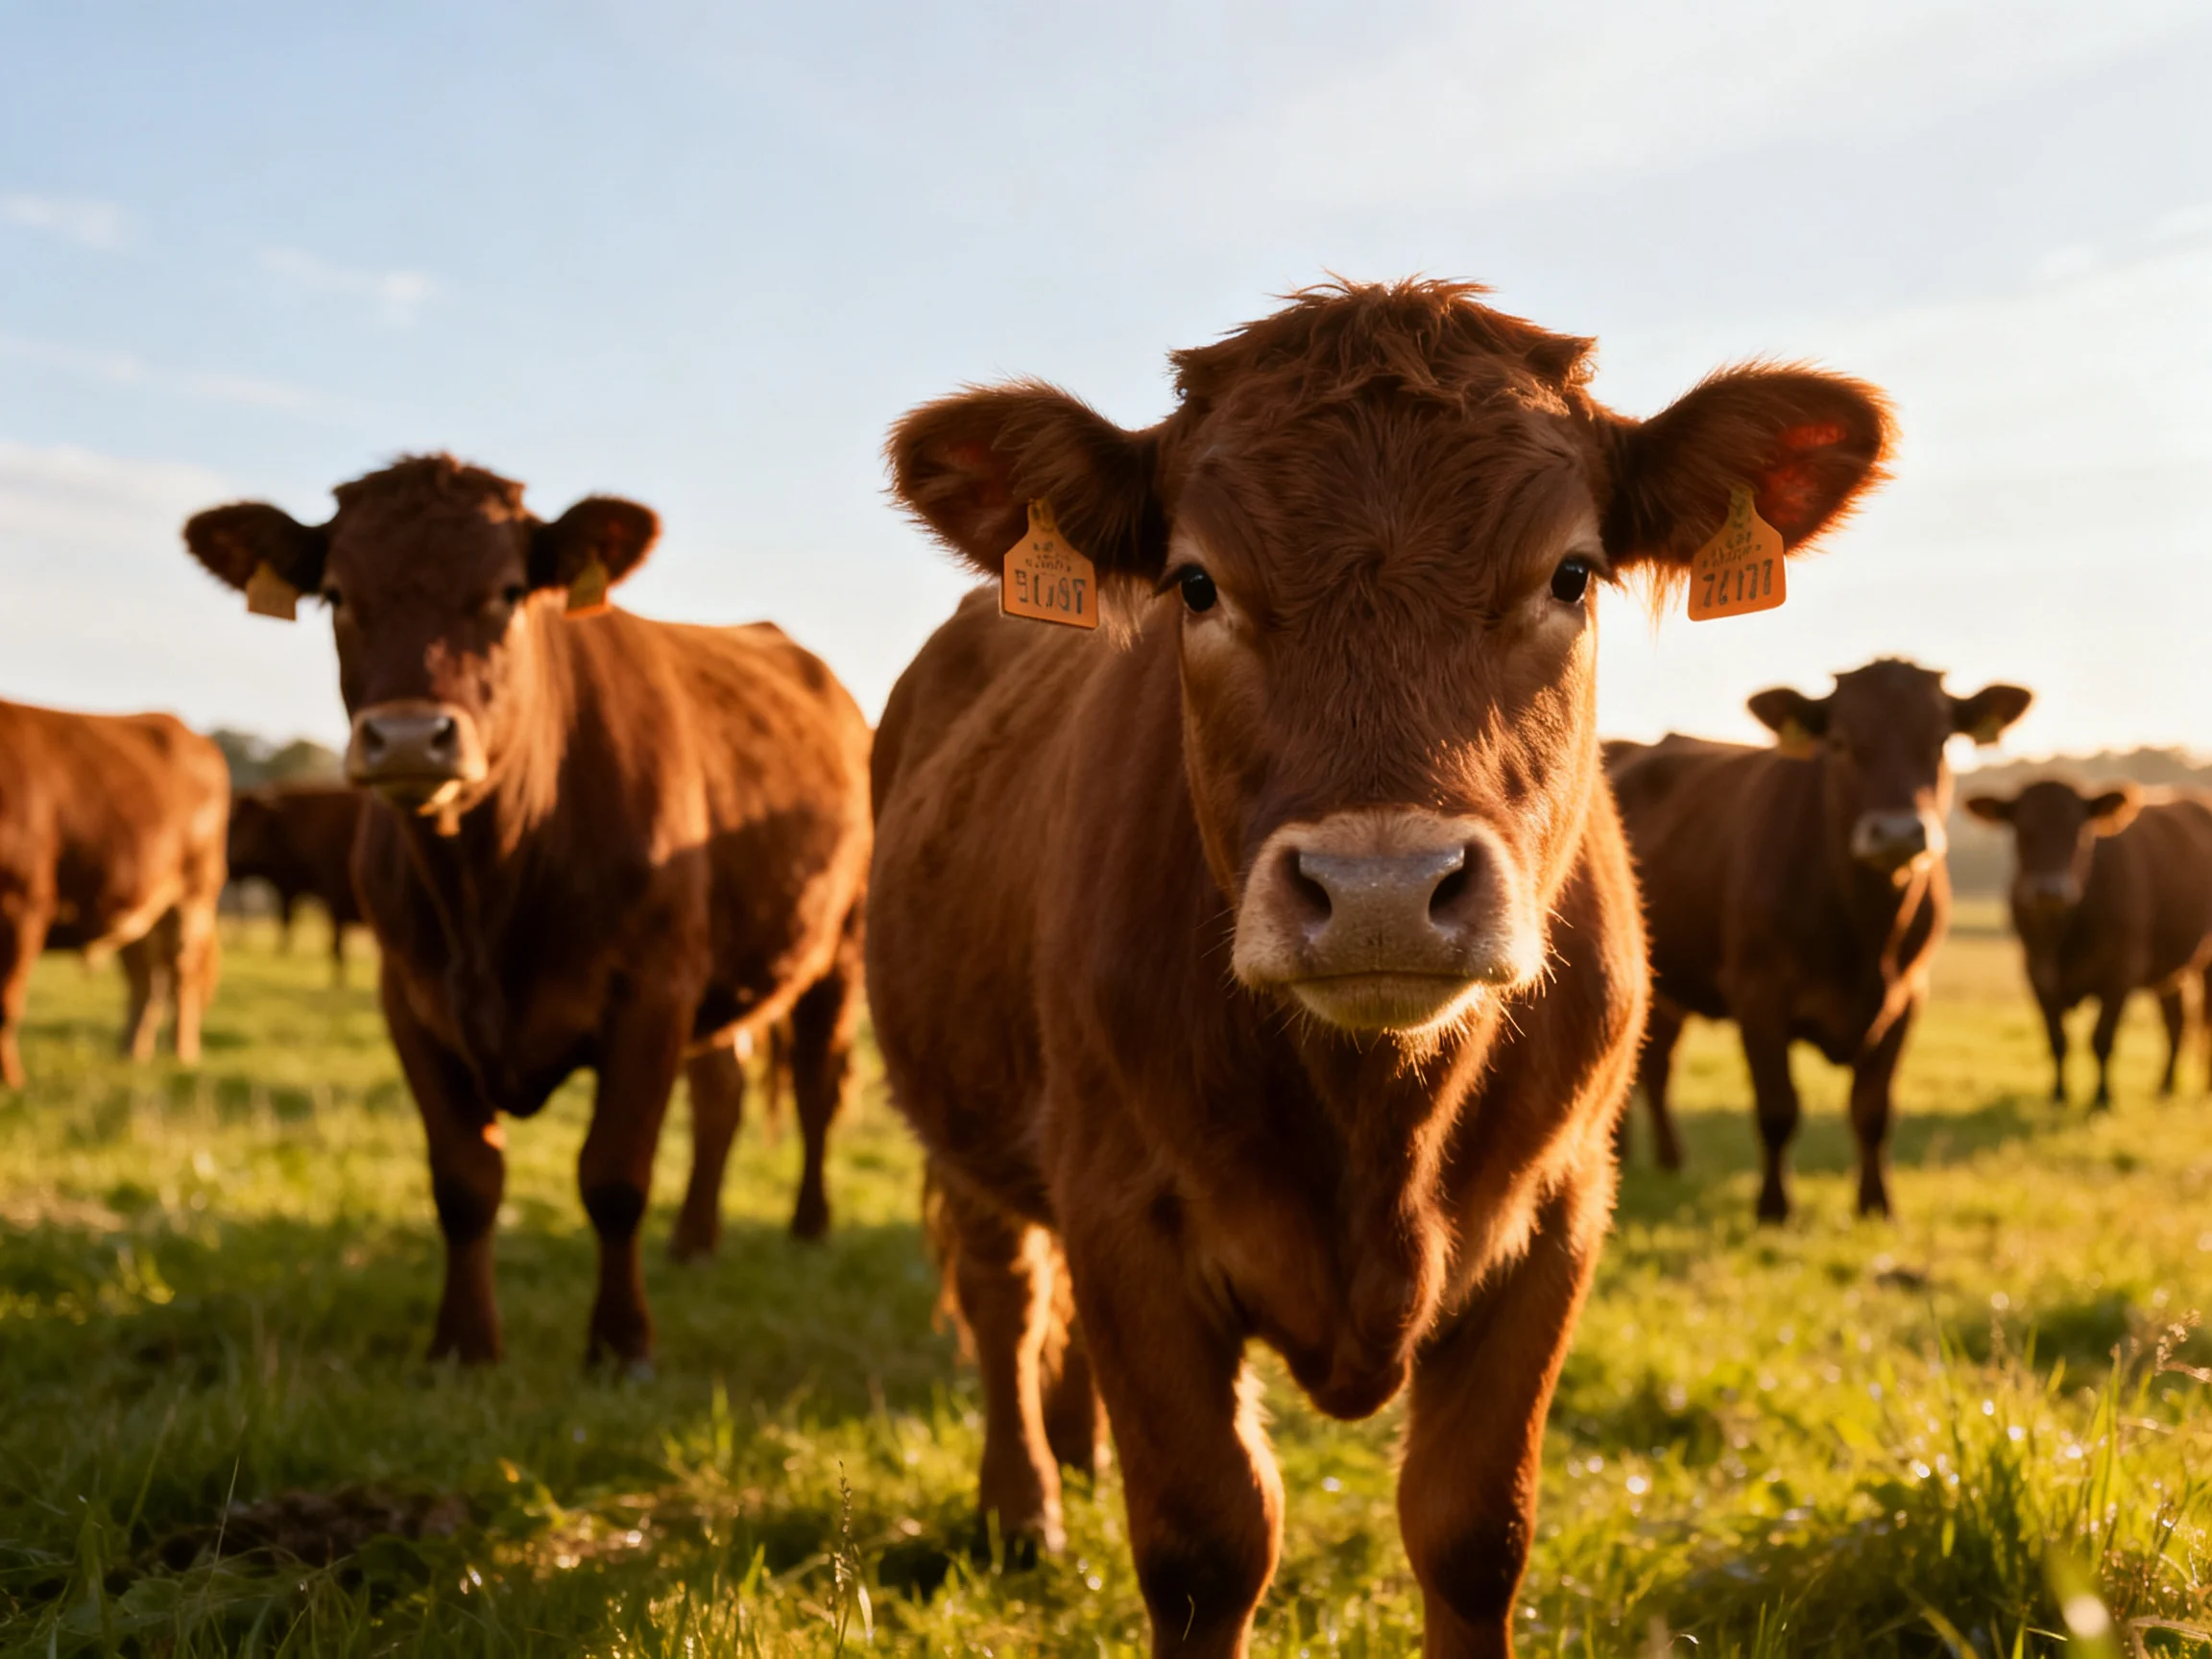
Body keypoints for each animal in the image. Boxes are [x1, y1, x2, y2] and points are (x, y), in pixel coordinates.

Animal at [0, 698, 227, 1087]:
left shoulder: (22, 903)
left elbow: (6, 1004)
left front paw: (11, 1083)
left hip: (192, 896)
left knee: (181, 977)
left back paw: (182, 1055)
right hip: (135, 908)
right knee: (146, 981)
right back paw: (132, 1054)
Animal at [226, 785, 369, 981]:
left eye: (257, 823)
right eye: (235, 822)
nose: (232, 860)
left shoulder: (334, 893)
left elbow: (334, 941)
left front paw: (339, 978)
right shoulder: (291, 890)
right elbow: (287, 921)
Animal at [867, 280, 1892, 1656]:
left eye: (1572, 573)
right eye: (1196, 583)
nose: (1381, 892)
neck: (1376, 1119)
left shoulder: (1560, 1213)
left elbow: (1473, 1532)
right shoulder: (1125, 1210)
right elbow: (1205, 1543)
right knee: (1004, 1292)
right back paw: (1027, 1505)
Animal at [1607, 660, 2032, 1223]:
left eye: (1941, 740)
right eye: (1840, 741)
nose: (1897, 833)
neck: (1863, 933)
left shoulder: (1907, 997)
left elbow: (1873, 1111)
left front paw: (1877, 1204)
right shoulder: (1758, 995)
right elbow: (1778, 1108)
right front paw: (1774, 1207)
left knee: (1654, 1066)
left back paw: (1668, 1162)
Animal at [1963, 780, 2212, 1105]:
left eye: (2079, 830)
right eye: (2023, 829)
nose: (2050, 891)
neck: (2064, 935)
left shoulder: (2121, 974)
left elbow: (2102, 1038)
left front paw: (2102, 1098)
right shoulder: (2036, 974)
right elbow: (2057, 1038)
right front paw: (2058, 1094)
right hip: (2169, 971)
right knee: (2176, 1022)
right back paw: (2165, 1089)